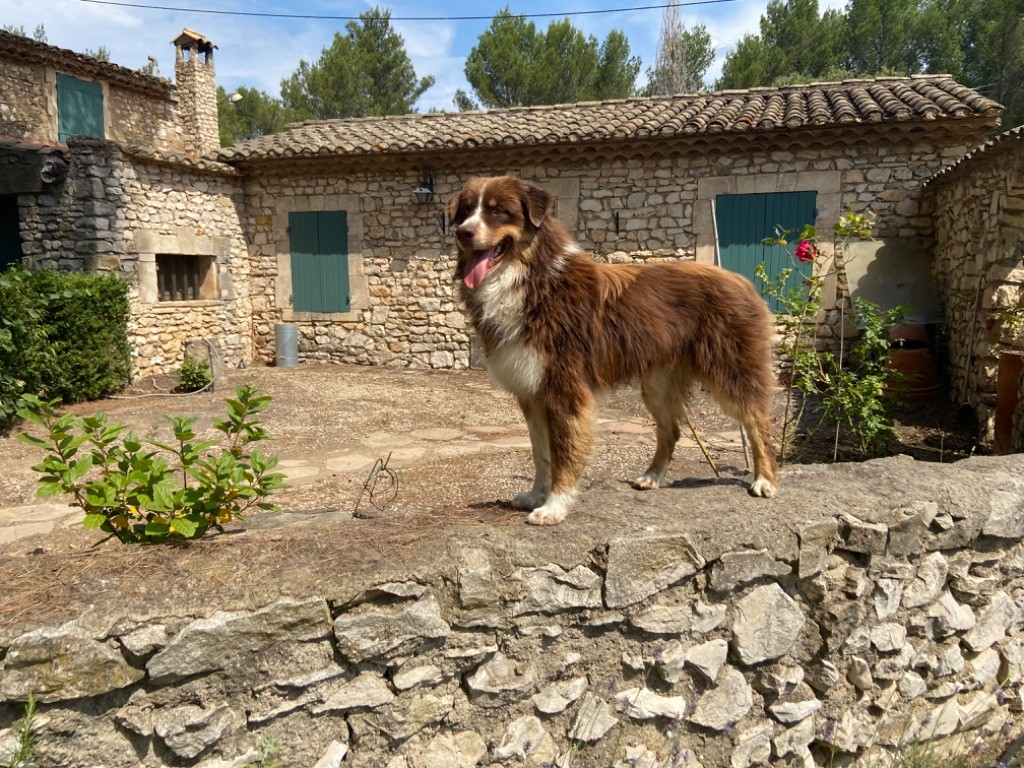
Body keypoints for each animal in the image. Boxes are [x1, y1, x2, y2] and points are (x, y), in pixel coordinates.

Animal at [448, 177, 774, 528]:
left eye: (499, 212)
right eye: (466, 211)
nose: (463, 232)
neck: (531, 278)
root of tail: (742, 280)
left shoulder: (565, 389)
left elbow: (563, 452)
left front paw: (554, 507)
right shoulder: (532, 391)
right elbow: (540, 453)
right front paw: (537, 495)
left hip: (732, 372)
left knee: (757, 421)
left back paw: (765, 480)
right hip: (658, 384)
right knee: (671, 430)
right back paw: (652, 477)